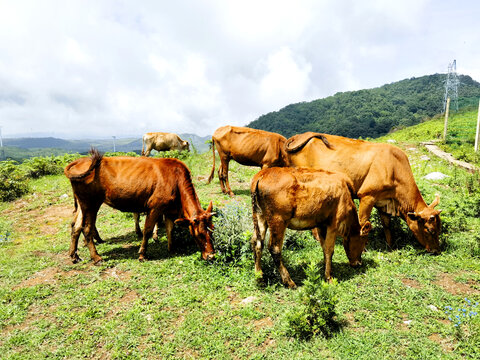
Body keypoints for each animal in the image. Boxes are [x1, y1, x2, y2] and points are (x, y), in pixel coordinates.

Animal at [63, 149, 214, 264]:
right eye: (199, 234)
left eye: (212, 230)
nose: (211, 256)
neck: (176, 179)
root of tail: (80, 161)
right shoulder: (155, 207)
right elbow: (147, 230)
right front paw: (142, 254)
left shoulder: (168, 210)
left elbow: (170, 229)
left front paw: (172, 249)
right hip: (91, 203)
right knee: (86, 228)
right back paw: (96, 257)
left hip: (83, 203)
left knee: (76, 226)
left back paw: (74, 255)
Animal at [284, 132, 442, 253]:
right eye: (429, 230)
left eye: (439, 229)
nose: (436, 250)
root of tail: (298, 136)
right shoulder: (367, 196)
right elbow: (363, 223)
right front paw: (362, 248)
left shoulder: (384, 201)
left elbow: (387, 225)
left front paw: (390, 246)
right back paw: (317, 238)